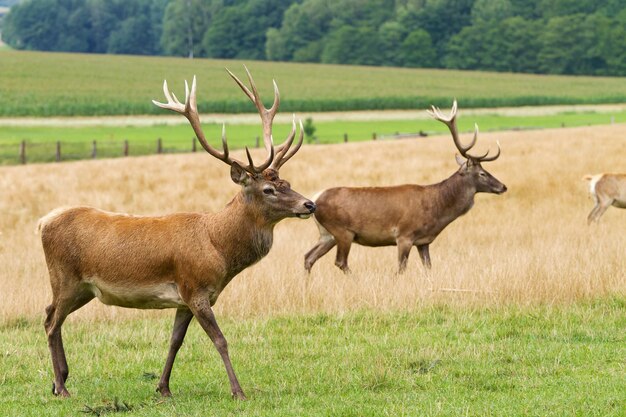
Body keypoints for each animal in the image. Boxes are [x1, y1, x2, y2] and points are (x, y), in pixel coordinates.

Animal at [39, 68, 314, 400]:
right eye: (268, 189)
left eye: (287, 182)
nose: (310, 204)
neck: (219, 249)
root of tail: (43, 222)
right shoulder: (194, 288)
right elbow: (220, 340)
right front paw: (238, 391)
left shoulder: (185, 298)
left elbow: (175, 341)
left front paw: (163, 388)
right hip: (64, 277)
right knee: (51, 321)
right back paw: (62, 387)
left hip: (82, 289)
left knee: (50, 314)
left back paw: (59, 381)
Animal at [304, 101, 504, 272]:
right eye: (482, 173)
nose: (503, 186)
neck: (436, 211)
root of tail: (315, 198)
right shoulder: (404, 235)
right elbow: (401, 268)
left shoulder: (423, 242)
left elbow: (428, 268)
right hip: (343, 231)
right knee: (340, 262)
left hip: (327, 234)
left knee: (308, 256)